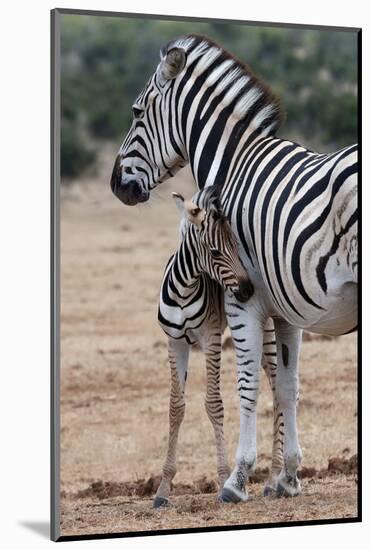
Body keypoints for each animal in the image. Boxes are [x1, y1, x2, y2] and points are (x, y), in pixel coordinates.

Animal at [154, 187, 253, 508]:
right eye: (215, 252)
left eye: (237, 245)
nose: (247, 291)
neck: (184, 290)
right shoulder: (174, 342)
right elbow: (176, 407)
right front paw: (163, 489)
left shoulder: (210, 338)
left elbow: (214, 403)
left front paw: (224, 479)